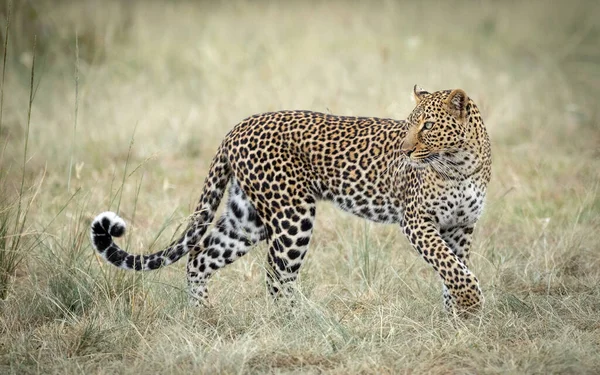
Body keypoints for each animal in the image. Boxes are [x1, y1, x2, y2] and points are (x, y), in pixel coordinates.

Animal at [90, 86, 492, 314]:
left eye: (427, 126)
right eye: (409, 124)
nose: (406, 151)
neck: (461, 163)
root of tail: (237, 127)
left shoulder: (462, 226)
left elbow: (453, 269)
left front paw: (456, 318)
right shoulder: (417, 222)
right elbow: (453, 269)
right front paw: (472, 306)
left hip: (246, 218)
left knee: (200, 257)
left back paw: (203, 318)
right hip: (292, 214)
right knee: (276, 273)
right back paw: (299, 323)